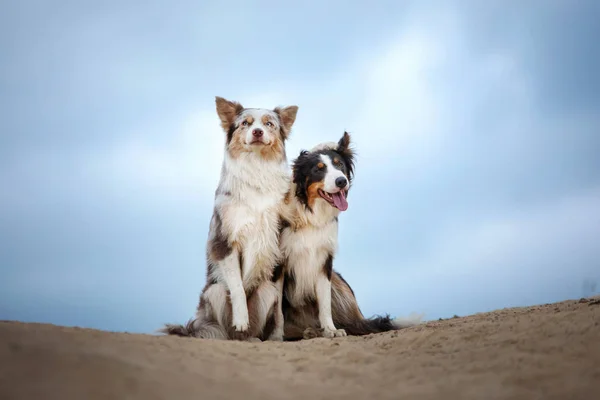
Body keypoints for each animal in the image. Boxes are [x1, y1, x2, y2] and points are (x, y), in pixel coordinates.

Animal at [162, 96, 298, 340]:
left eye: (269, 124)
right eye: (245, 123)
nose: (257, 132)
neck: (257, 169)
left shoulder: (277, 248)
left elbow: (279, 310)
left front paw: (277, 335)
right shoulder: (224, 242)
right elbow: (237, 288)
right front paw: (241, 319)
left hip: (265, 290)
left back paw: (253, 336)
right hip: (214, 292)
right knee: (226, 330)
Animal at [278, 133, 420, 340]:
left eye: (340, 166)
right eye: (318, 169)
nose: (341, 181)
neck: (311, 216)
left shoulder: (324, 261)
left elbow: (324, 304)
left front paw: (330, 330)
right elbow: (277, 309)